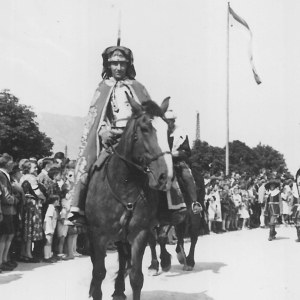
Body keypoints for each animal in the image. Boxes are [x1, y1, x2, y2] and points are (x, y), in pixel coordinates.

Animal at [85, 95, 173, 300]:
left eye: (168, 130)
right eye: (145, 128)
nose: (165, 176)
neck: (124, 186)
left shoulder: (139, 234)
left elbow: (136, 278)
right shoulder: (98, 235)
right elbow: (99, 273)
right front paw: (95, 289)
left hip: (123, 236)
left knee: (124, 258)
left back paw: (119, 290)